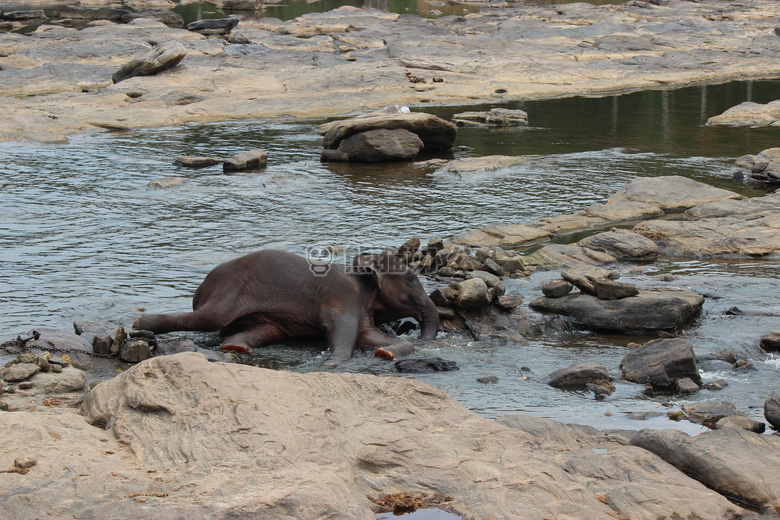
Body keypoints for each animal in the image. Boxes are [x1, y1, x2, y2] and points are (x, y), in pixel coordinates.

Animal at [133, 250, 438, 364]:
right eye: (411, 279)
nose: (424, 339)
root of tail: (200, 289)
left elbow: (368, 335)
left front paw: (385, 351)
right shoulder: (342, 294)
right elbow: (343, 328)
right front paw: (332, 363)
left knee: (266, 330)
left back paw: (236, 347)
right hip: (230, 288)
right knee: (211, 318)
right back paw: (139, 324)